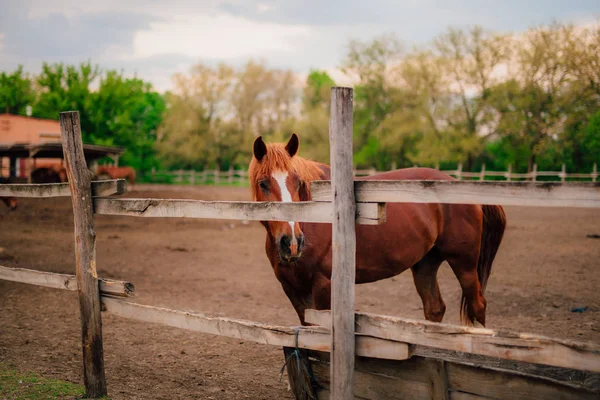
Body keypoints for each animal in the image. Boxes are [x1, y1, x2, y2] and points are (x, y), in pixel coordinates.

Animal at [248, 134, 506, 328]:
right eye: (263, 183)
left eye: (298, 181)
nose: (292, 242)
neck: (314, 217)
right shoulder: (293, 289)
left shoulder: (323, 286)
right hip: (425, 264)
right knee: (435, 308)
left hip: (464, 265)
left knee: (478, 306)